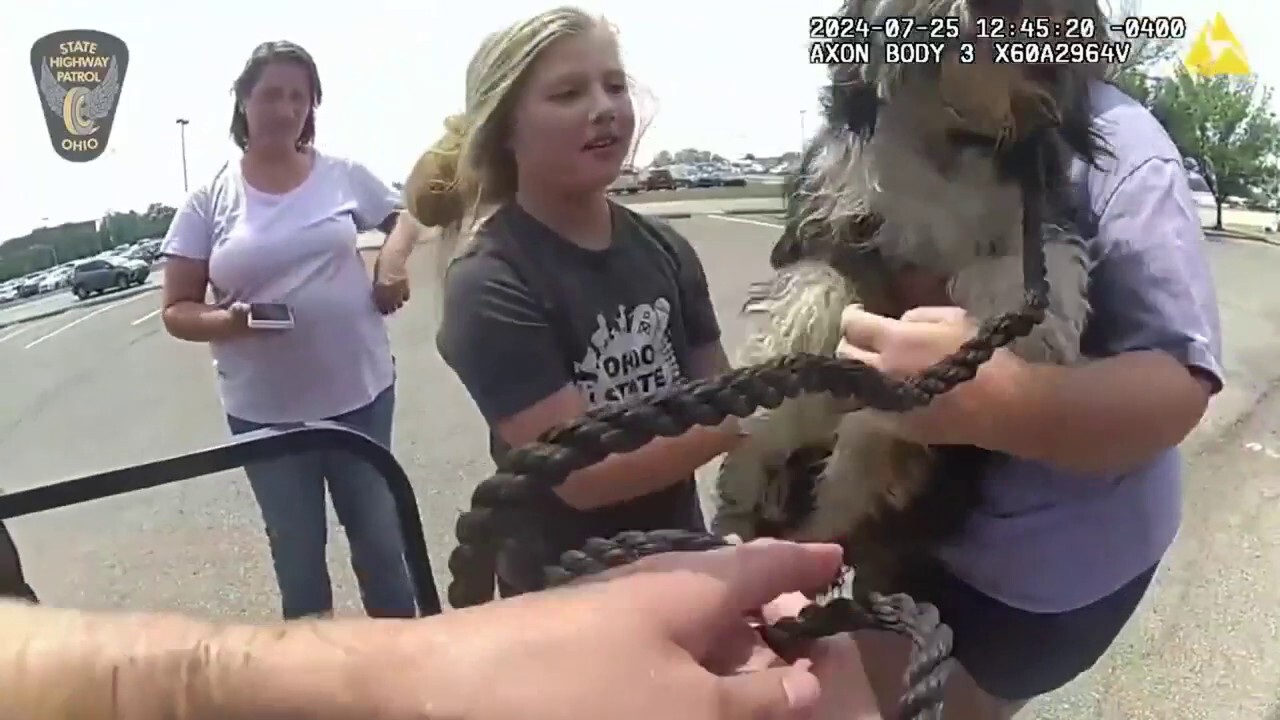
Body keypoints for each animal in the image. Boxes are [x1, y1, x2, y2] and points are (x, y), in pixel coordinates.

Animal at [711, 0, 1111, 594]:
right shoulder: (830, 228)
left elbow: (1027, 270)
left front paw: (1039, 335)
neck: (948, 132)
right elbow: (816, 294)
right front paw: (761, 429)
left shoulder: (1038, 211)